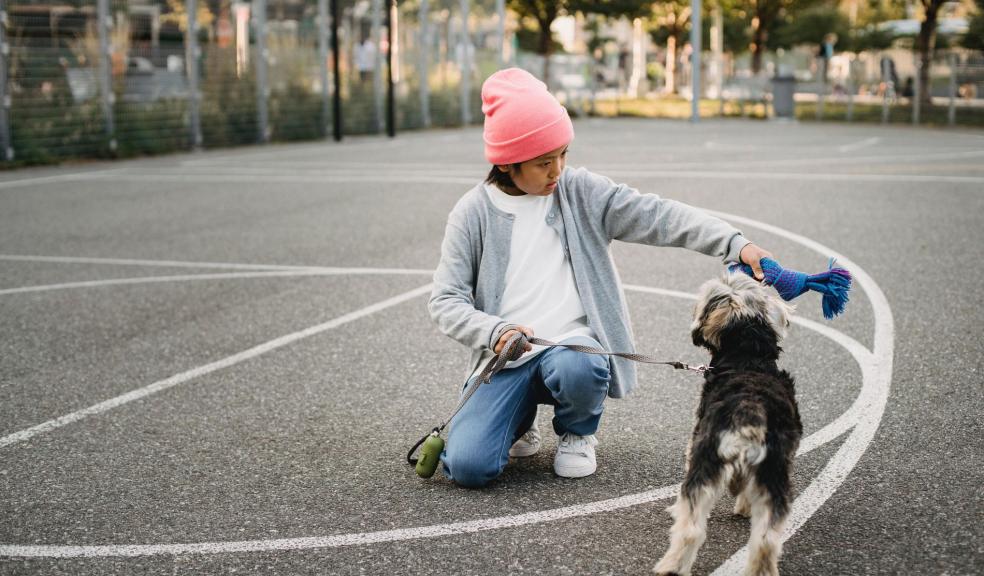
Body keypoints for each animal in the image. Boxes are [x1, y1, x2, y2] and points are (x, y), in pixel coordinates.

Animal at [652, 274, 800, 576]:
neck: (749, 360)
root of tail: (750, 412)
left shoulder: (695, 443)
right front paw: (743, 506)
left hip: (705, 463)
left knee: (691, 529)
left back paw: (671, 565)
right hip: (774, 473)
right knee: (766, 538)